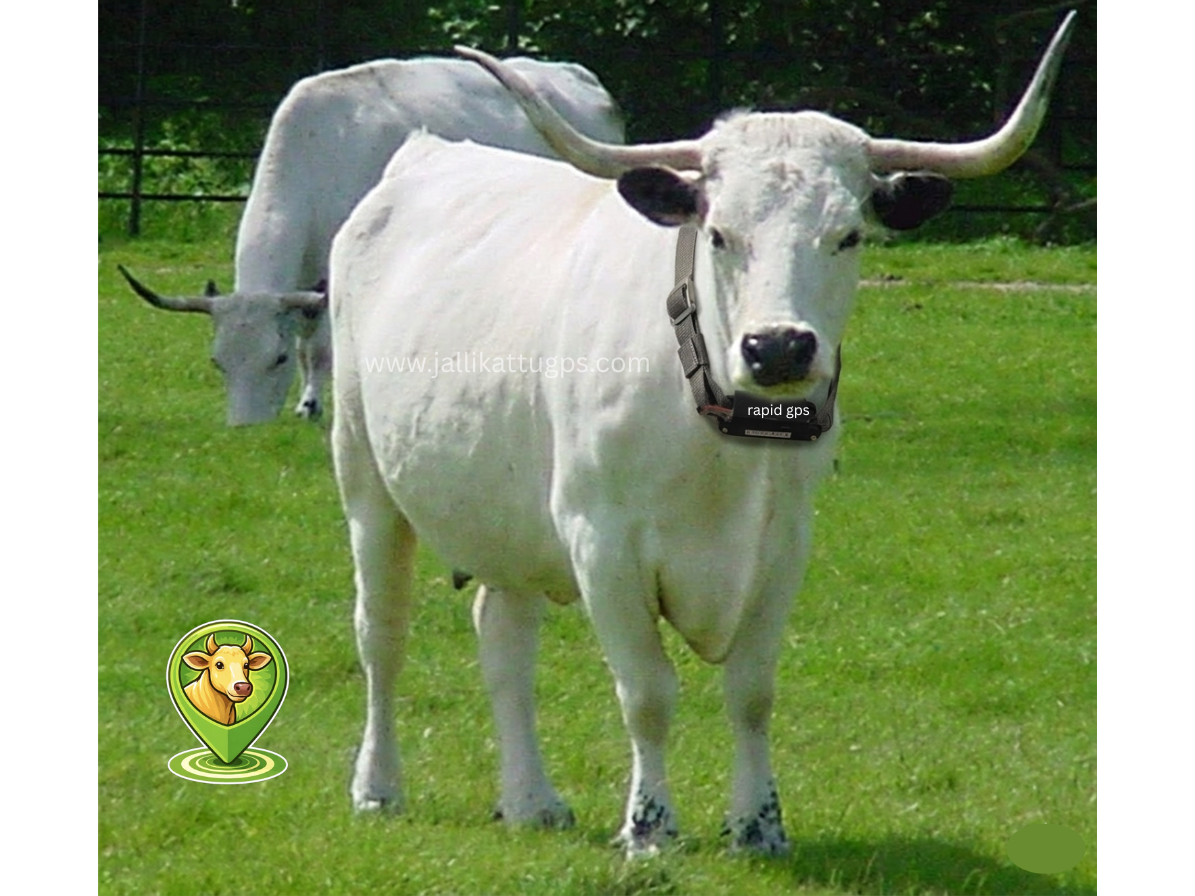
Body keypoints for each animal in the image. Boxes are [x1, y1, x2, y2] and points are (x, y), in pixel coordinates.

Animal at [117, 55, 625, 426]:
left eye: (275, 359)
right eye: (218, 361)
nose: (245, 428)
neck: (317, 153)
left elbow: (317, 347)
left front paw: (311, 405)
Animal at [328, 14, 1075, 856]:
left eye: (847, 235)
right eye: (718, 233)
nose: (778, 347)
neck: (721, 445)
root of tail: (422, 157)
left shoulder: (782, 546)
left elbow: (751, 692)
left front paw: (758, 826)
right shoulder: (601, 541)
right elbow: (647, 693)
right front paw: (649, 827)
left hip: (505, 514)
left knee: (504, 637)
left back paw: (531, 800)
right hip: (366, 480)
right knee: (382, 632)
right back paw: (377, 787)